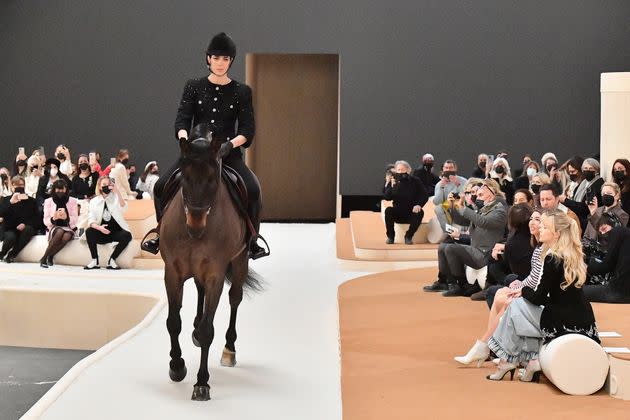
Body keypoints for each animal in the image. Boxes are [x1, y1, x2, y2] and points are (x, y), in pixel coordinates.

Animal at [163, 127, 264, 400]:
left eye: (213, 179)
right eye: (184, 177)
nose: (195, 225)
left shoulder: (215, 274)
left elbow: (209, 329)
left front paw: (202, 383)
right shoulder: (172, 272)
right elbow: (173, 322)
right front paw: (177, 366)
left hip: (239, 261)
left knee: (235, 299)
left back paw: (229, 350)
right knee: (199, 292)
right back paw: (195, 330)